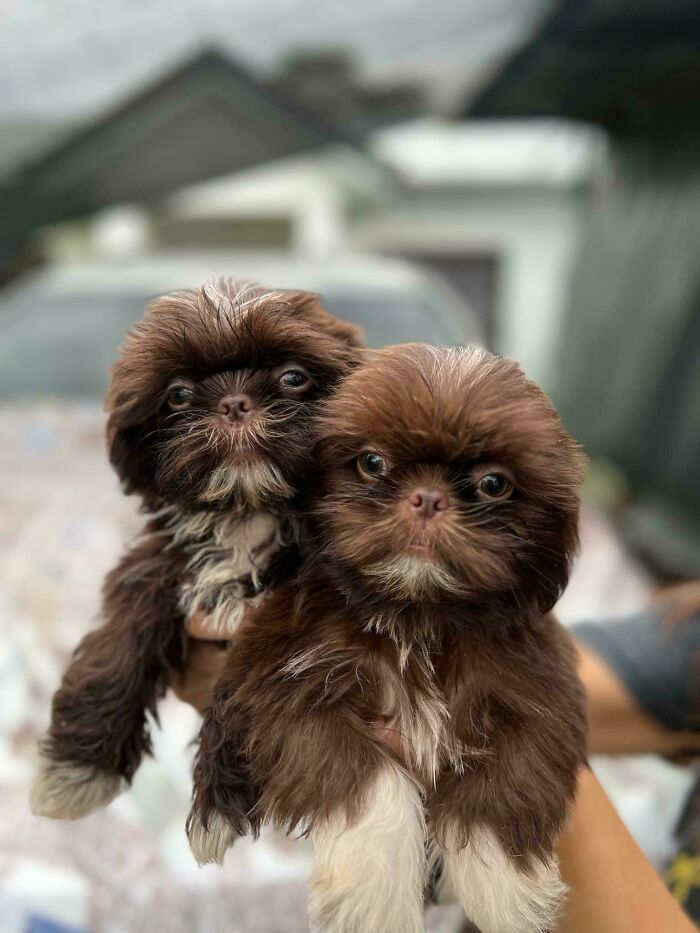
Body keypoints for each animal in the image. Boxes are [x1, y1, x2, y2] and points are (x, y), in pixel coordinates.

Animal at [30, 280, 360, 820]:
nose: (234, 402)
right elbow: (118, 640)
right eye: (179, 395)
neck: (244, 515)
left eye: (293, 377)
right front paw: (78, 767)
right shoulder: (160, 561)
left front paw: (220, 803)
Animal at [189, 342, 588, 932]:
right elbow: (370, 782)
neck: (415, 613)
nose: (426, 498)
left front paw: (508, 892)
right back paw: (215, 813)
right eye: (372, 463)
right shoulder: (291, 680)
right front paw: (374, 899)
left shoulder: (537, 687)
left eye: (494, 484)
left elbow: (512, 777)